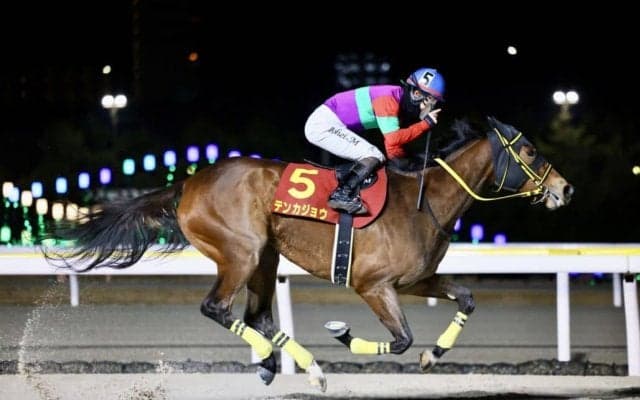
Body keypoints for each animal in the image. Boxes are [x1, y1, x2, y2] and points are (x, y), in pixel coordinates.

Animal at [44, 117, 573, 392]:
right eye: (529, 149)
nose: (564, 189)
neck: (426, 201)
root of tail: (189, 183)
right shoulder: (372, 285)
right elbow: (400, 339)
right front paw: (344, 336)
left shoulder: (415, 280)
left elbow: (464, 298)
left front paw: (433, 355)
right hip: (241, 250)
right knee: (217, 307)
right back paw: (288, 363)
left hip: (265, 257)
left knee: (257, 316)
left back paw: (289, 365)